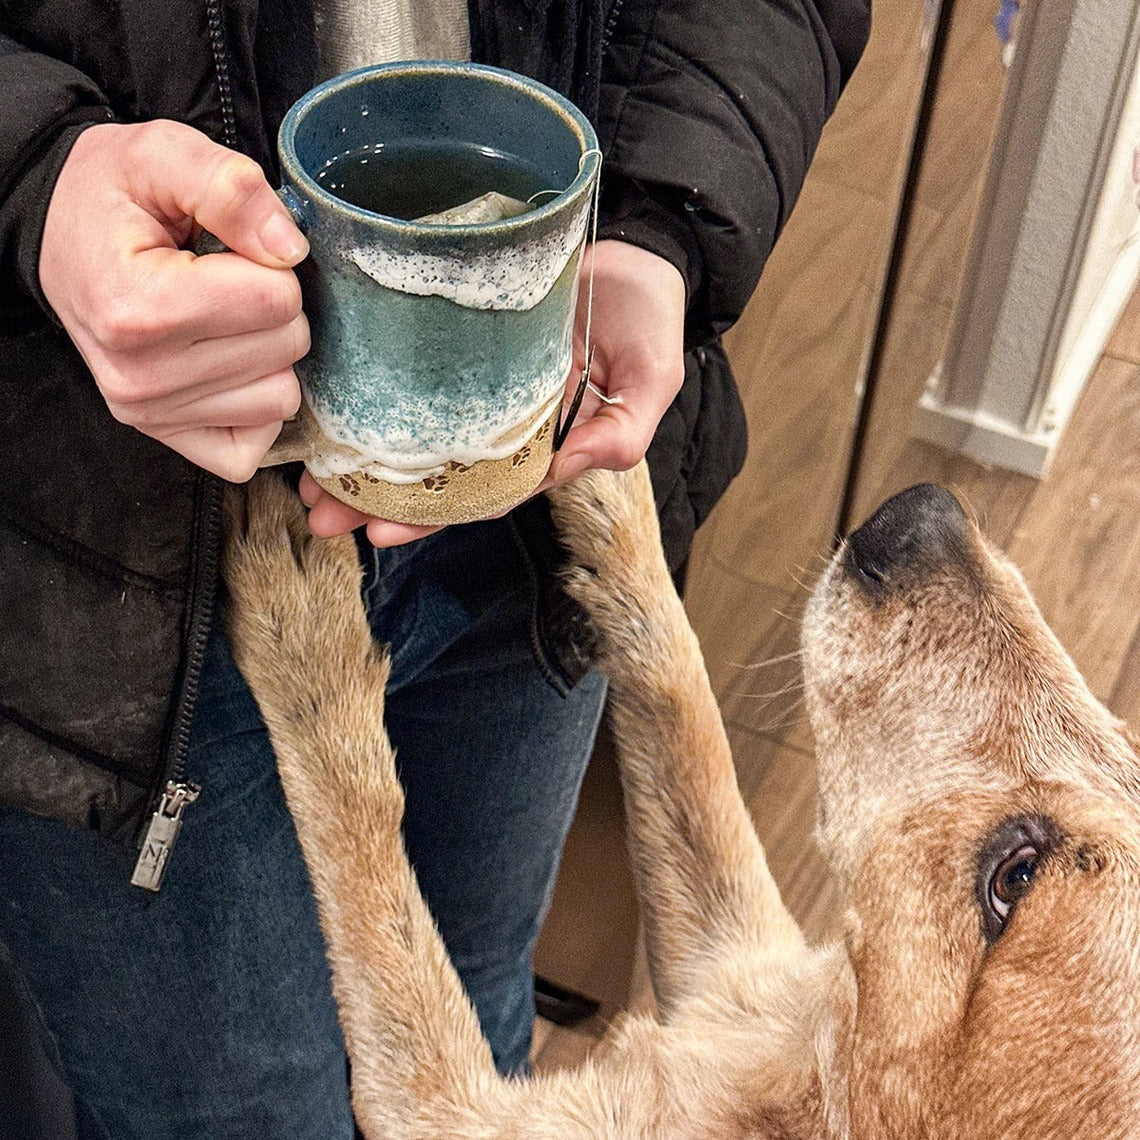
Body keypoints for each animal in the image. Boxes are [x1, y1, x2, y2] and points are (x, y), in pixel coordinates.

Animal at [222, 458, 1140, 1135]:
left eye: (1015, 878)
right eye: (1131, 746)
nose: (921, 510)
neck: (818, 1055)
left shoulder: (444, 1109)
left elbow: (368, 855)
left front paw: (301, 630)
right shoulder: (727, 967)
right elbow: (678, 681)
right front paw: (608, 467)